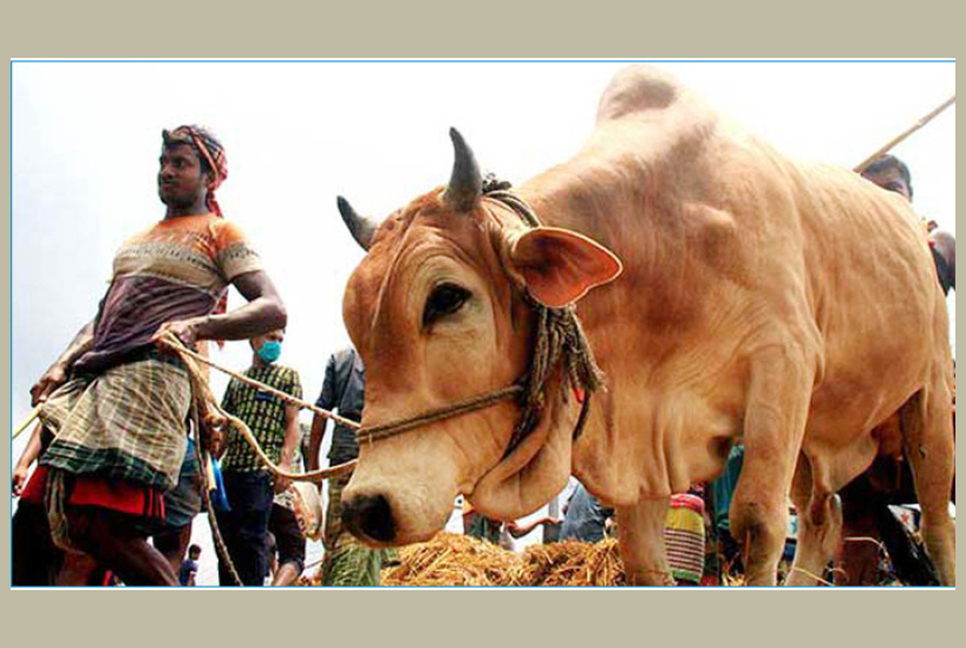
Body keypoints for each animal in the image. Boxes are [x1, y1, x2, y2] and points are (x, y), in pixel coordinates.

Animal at [330, 66, 952, 588]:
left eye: (447, 298)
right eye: (353, 321)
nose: (366, 506)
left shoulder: (783, 365)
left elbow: (759, 524)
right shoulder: (648, 432)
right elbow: (644, 556)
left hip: (927, 397)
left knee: (937, 520)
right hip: (813, 434)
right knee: (825, 519)